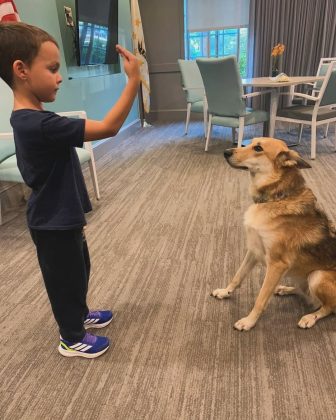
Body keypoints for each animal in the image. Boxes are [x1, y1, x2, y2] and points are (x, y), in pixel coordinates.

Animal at [211, 138, 336, 332]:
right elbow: (238, 276)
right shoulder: (253, 251)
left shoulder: (277, 264)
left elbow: (261, 298)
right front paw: (226, 292)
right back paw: (285, 289)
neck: (275, 197)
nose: (225, 152)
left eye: (258, 148)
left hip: (317, 276)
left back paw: (310, 317)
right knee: (304, 291)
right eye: (250, 143)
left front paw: (249, 321)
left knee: (328, 307)